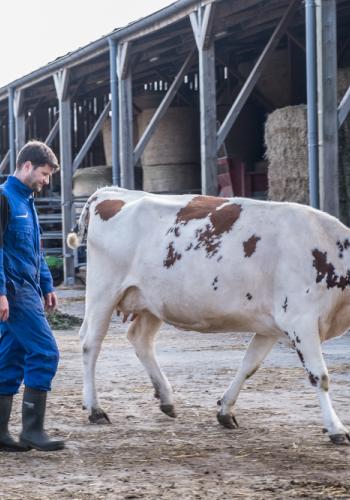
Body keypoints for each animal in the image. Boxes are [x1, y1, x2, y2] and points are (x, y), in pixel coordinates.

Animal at [67, 188, 350, 446]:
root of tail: (110, 192)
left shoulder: (271, 327)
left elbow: (249, 365)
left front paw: (225, 410)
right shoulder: (300, 321)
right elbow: (320, 376)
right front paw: (336, 428)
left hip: (152, 302)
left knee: (140, 339)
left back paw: (166, 398)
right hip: (103, 292)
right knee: (91, 343)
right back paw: (95, 409)